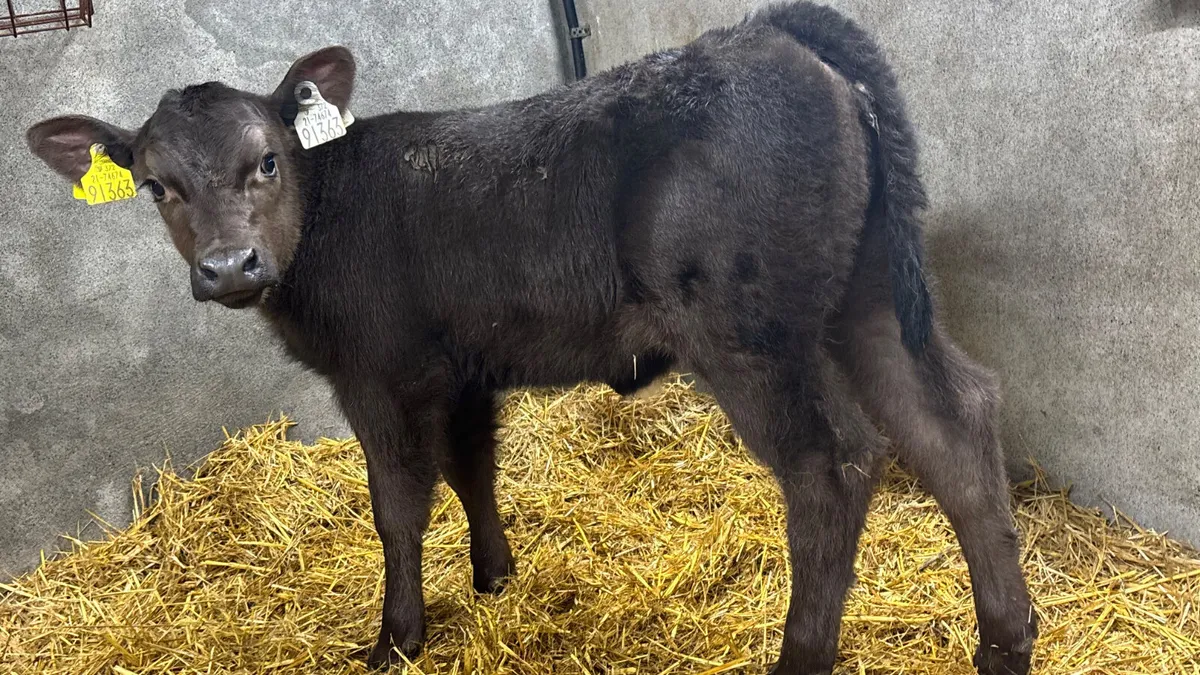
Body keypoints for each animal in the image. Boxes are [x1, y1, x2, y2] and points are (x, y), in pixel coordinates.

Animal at [26, 2, 1036, 672]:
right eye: (157, 186)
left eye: (267, 158)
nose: (229, 265)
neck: (330, 207)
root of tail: (771, 34)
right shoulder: (462, 368)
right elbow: (474, 467)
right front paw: (493, 576)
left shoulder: (377, 374)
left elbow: (397, 504)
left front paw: (396, 638)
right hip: (865, 299)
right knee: (955, 422)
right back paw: (1006, 641)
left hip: (749, 333)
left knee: (833, 465)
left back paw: (803, 653)